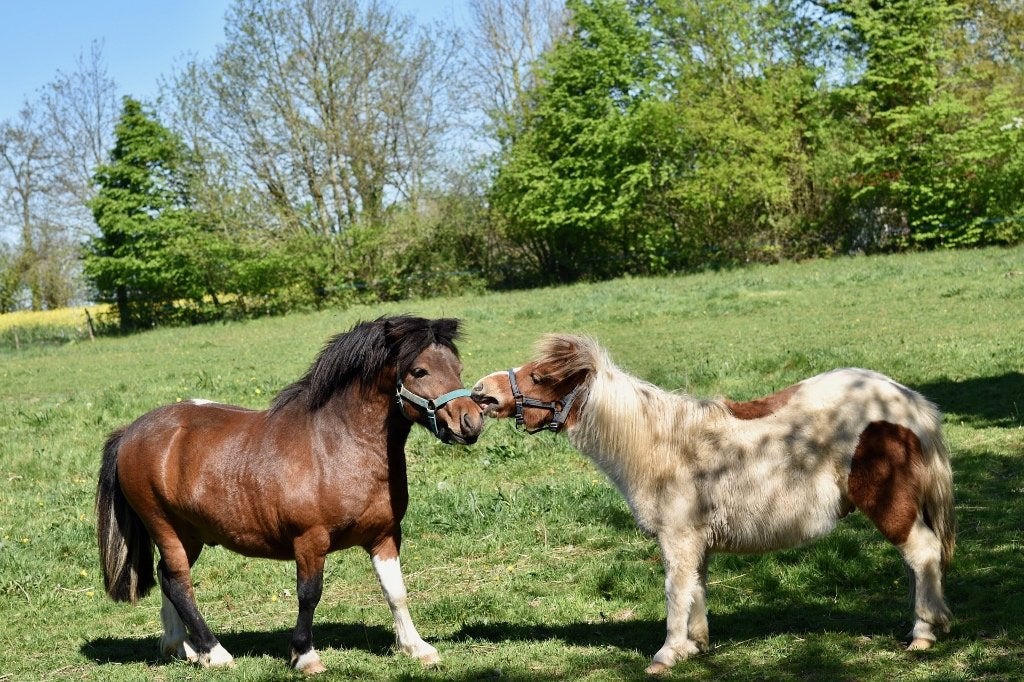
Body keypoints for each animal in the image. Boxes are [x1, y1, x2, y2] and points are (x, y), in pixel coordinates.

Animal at [96, 315, 484, 674]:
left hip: (189, 534)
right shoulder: (310, 540)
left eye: (458, 368)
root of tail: (131, 431)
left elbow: (396, 591)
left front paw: (416, 648)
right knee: (178, 584)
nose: (471, 422)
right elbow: (309, 595)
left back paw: (181, 648)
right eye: (419, 370)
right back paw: (215, 653)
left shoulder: (385, 535)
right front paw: (305, 656)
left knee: (167, 578)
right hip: (164, 527)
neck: (337, 445)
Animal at [471, 334, 955, 675]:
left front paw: (666, 655)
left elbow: (674, 591)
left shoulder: (678, 538)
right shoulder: (695, 542)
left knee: (923, 555)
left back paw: (924, 633)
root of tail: (908, 402)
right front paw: (695, 646)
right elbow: (696, 589)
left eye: (541, 376)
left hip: (889, 505)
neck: (659, 444)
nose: (481, 392)